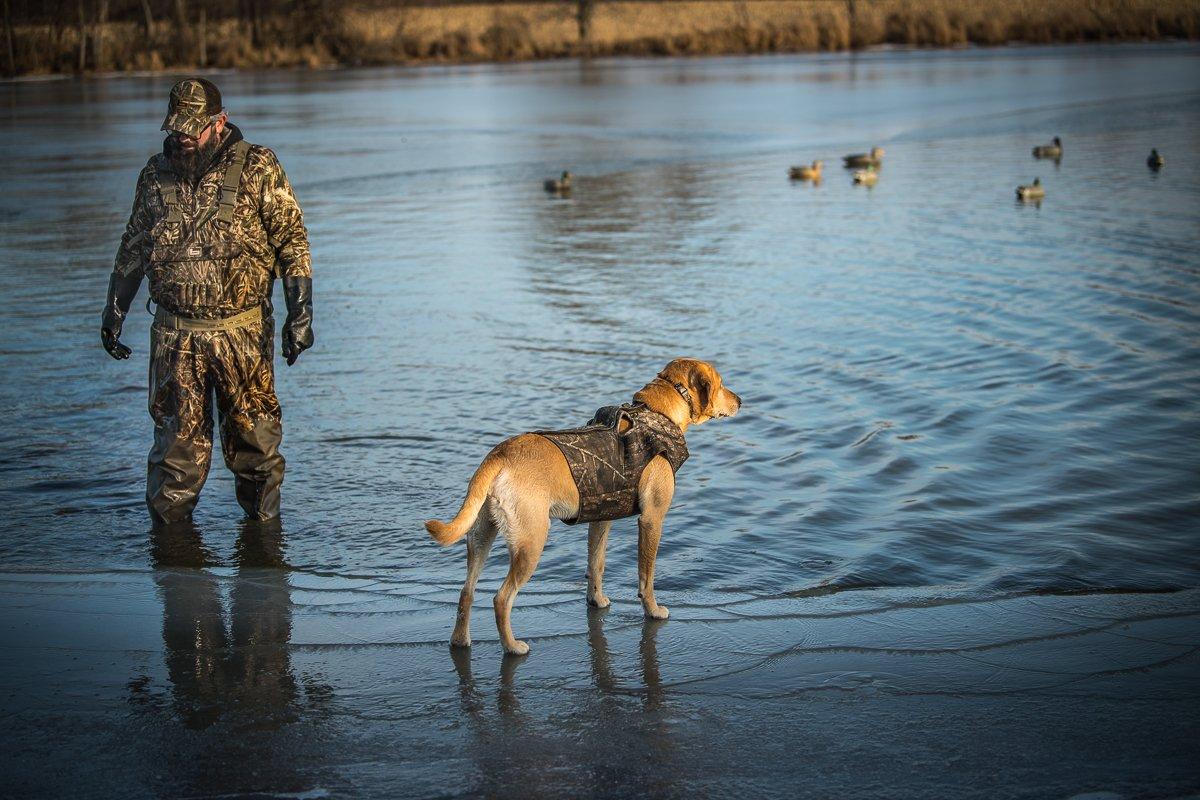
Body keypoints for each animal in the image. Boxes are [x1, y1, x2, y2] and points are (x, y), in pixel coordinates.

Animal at [422, 357, 739, 657]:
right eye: (722, 384)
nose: (741, 400)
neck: (657, 414)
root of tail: (501, 454)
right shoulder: (652, 519)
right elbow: (646, 576)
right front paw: (652, 610)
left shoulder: (601, 518)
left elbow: (595, 564)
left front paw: (596, 600)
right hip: (530, 543)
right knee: (501, 599)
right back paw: (512, 646)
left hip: (480, 537)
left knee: (466, 592)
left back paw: (460, 640)